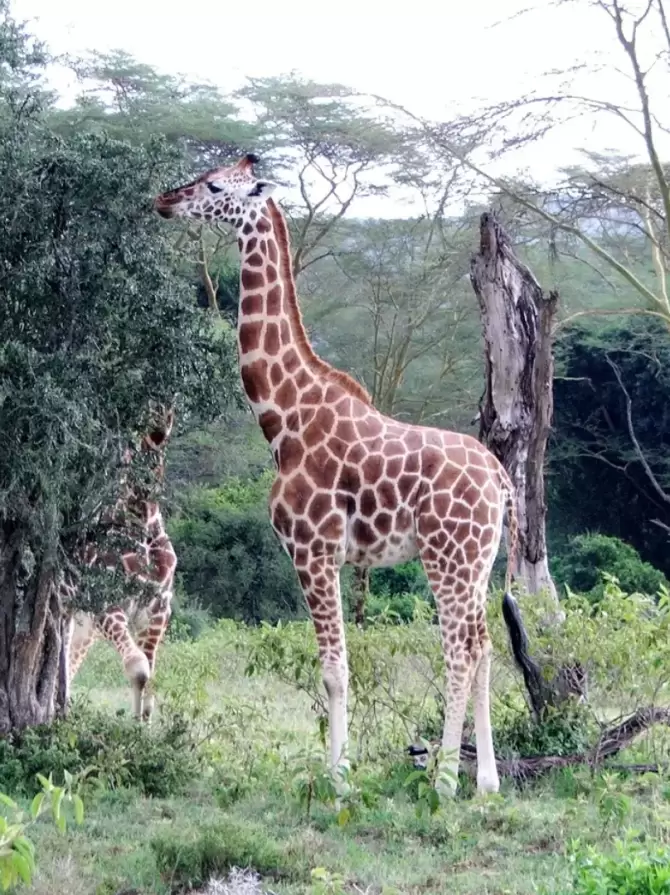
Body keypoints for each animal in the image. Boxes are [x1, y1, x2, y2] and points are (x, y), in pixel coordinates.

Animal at [61, 406, 177, 720]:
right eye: (150, 405)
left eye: (173, 405)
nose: (159, 429)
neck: (142, 517)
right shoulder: (107, 602)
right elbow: (138, 668)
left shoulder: (158, 608)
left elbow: (149, 680)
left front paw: (140, 727)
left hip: (83, 624)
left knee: (68, 662)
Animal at [154, 156, 520, 800]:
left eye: (216, 185)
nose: (166, 201)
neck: (282, 418)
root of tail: (500, 477)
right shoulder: (329, 556)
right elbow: (338, 665)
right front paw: (340, 769)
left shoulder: (313, 549)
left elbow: (334, 669)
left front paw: (338, 778)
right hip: (477, 561)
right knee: (482, 645)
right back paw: (487, 781)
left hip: (446, 558)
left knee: (458, 649)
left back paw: (445, 781)